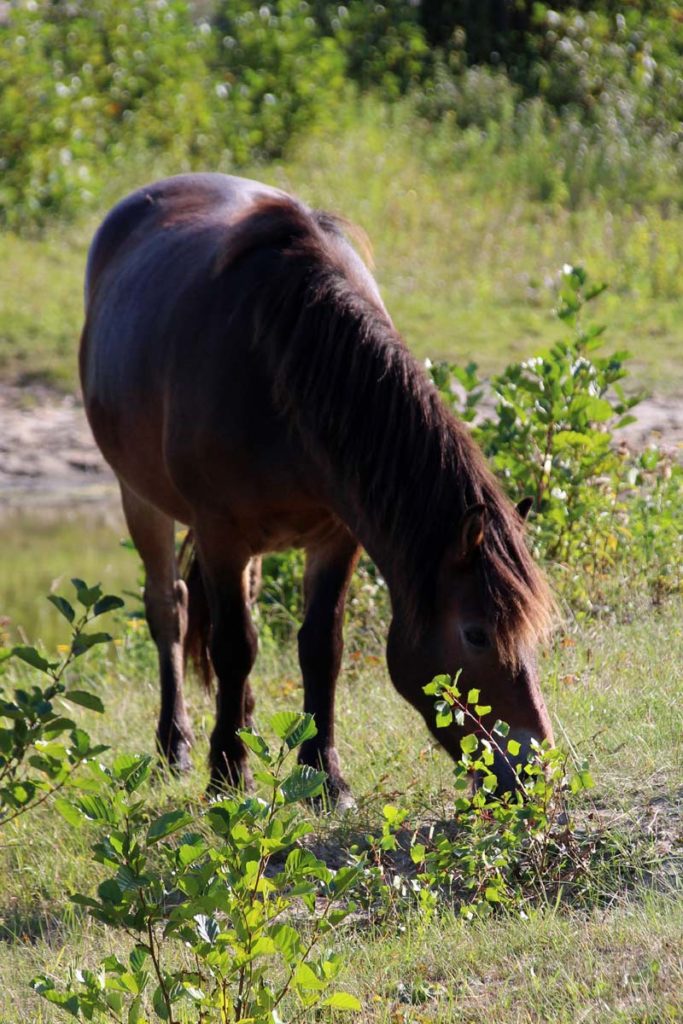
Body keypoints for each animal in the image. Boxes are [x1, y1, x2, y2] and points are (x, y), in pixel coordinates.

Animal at [80, 173, 555, 805]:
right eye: (476, 634)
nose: (534, 771)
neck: (282, 367)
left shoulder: (339, 534)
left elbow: (320, 647)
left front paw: (325, 774)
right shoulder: (220, 531)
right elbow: (233, 646)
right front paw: (227, 773)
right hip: (140, 498)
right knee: (171, 611)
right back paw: (177, 745)